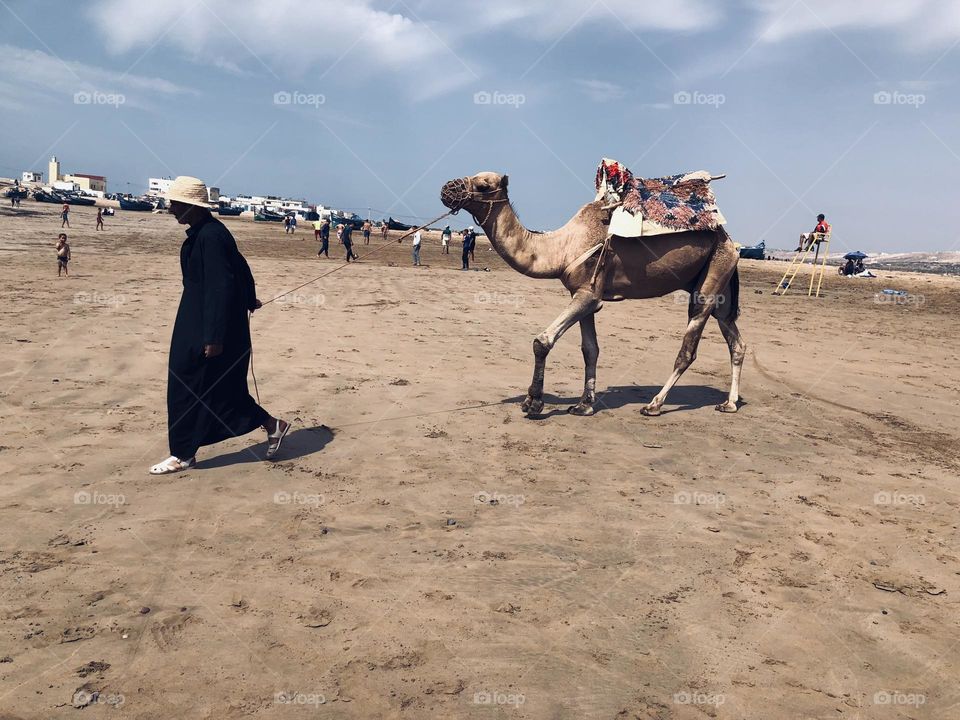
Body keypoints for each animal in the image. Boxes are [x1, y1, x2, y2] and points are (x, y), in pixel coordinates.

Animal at [440, 171, 746, 417]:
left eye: (482, 184)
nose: (447, 188)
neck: (560, 247)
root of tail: (730, 242)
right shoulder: (583, 293)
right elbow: (590, 350)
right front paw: (584, 405)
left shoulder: (588, 294)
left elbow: (542, 341)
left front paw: (533, 402)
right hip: (718, 283)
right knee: (736, 342)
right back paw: (729, 403)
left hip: (709, 281)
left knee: (688, 348)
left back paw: (654, 405)